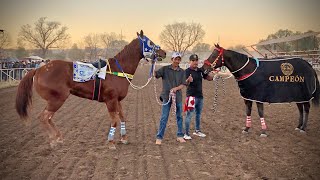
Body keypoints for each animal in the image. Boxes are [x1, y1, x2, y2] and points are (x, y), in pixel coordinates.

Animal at [15, 30, 165, 149]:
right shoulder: (110, 100)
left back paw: (58, 137)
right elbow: (114, 120)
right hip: (57, 99)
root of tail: (39, 69)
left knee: (48, 118)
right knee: (44, 117)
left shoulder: (118, 100)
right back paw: (53, 140)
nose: (163, 52)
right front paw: (111, 142)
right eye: (150, 42)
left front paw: (124, 138)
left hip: (54, 100)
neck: (117, 70)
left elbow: (122, 117)